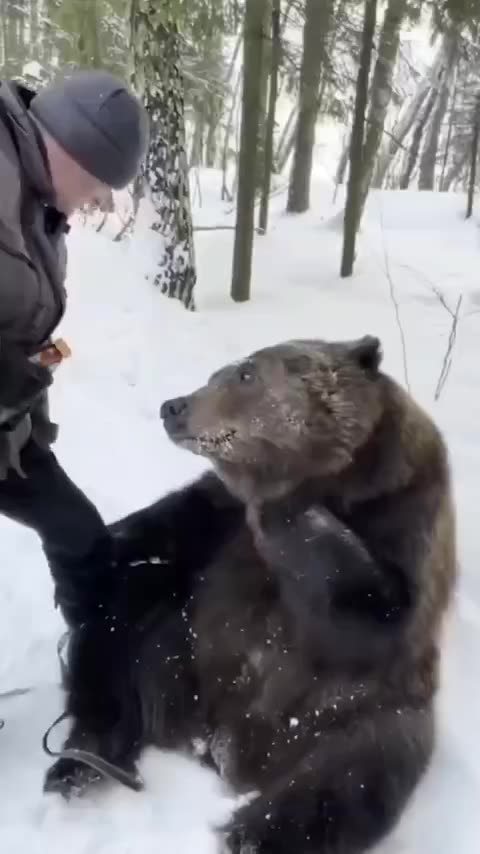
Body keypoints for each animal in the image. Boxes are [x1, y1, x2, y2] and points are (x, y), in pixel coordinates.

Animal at [43, 335, 457, 854]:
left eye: (246, 374)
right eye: (218, 373)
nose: (174, 406)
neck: (336, 483)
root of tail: (211, 742)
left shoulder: (404, 517)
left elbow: (378, 608)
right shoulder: (221, 518)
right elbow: (173, 521)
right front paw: (104, 541)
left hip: (352, 713)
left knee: (350, 776)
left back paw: (249, 834)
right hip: (171, 644)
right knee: (116, 632)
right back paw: (81, 763)